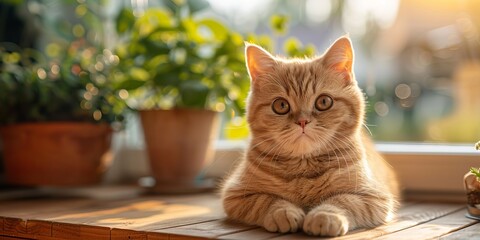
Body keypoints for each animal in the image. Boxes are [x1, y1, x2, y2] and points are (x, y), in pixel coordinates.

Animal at [220, 36, 398, 236]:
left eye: (324, 102)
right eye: (281, 105)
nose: (303, 121)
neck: (303, 166)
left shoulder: (374, 196)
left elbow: (344, 200)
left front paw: (324, 216)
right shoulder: (236, 194)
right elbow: (265, 200)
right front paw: (283, 212)